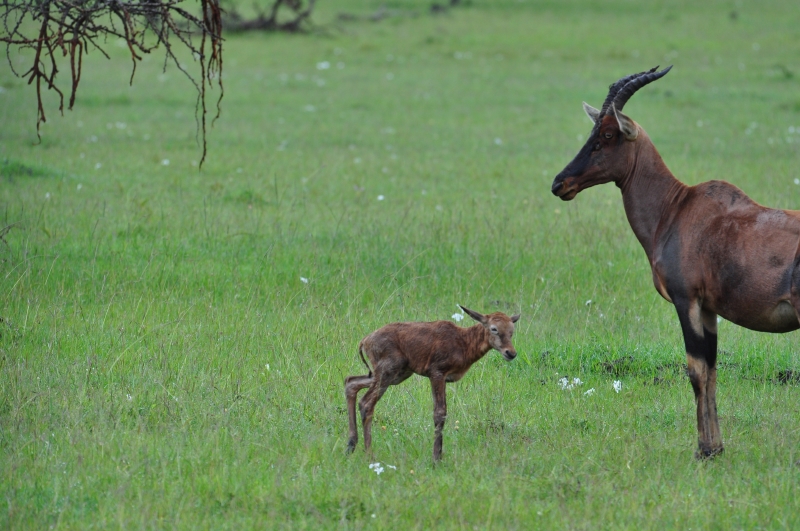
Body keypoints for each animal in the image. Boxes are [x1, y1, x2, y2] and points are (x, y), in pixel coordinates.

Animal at [345, 306, 520, 462]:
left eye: (512, 330)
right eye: (494, 328)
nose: (510, 353)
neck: (464, 342)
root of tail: (365, 341)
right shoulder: (436, 373)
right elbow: (440, 413)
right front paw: (436, 458)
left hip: (395, 375)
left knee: (351, 382)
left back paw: (350, 446)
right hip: (387, 372)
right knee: (366, 403)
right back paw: (368, 454)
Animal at [551, 65, 800, 458]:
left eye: (607, 134)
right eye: (593, 131)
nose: (560, 184)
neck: (677, 207)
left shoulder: (687, 301)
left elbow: (695, 371)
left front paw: (703, 450)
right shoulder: (709, 309)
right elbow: (711, 371)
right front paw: (717, 448)